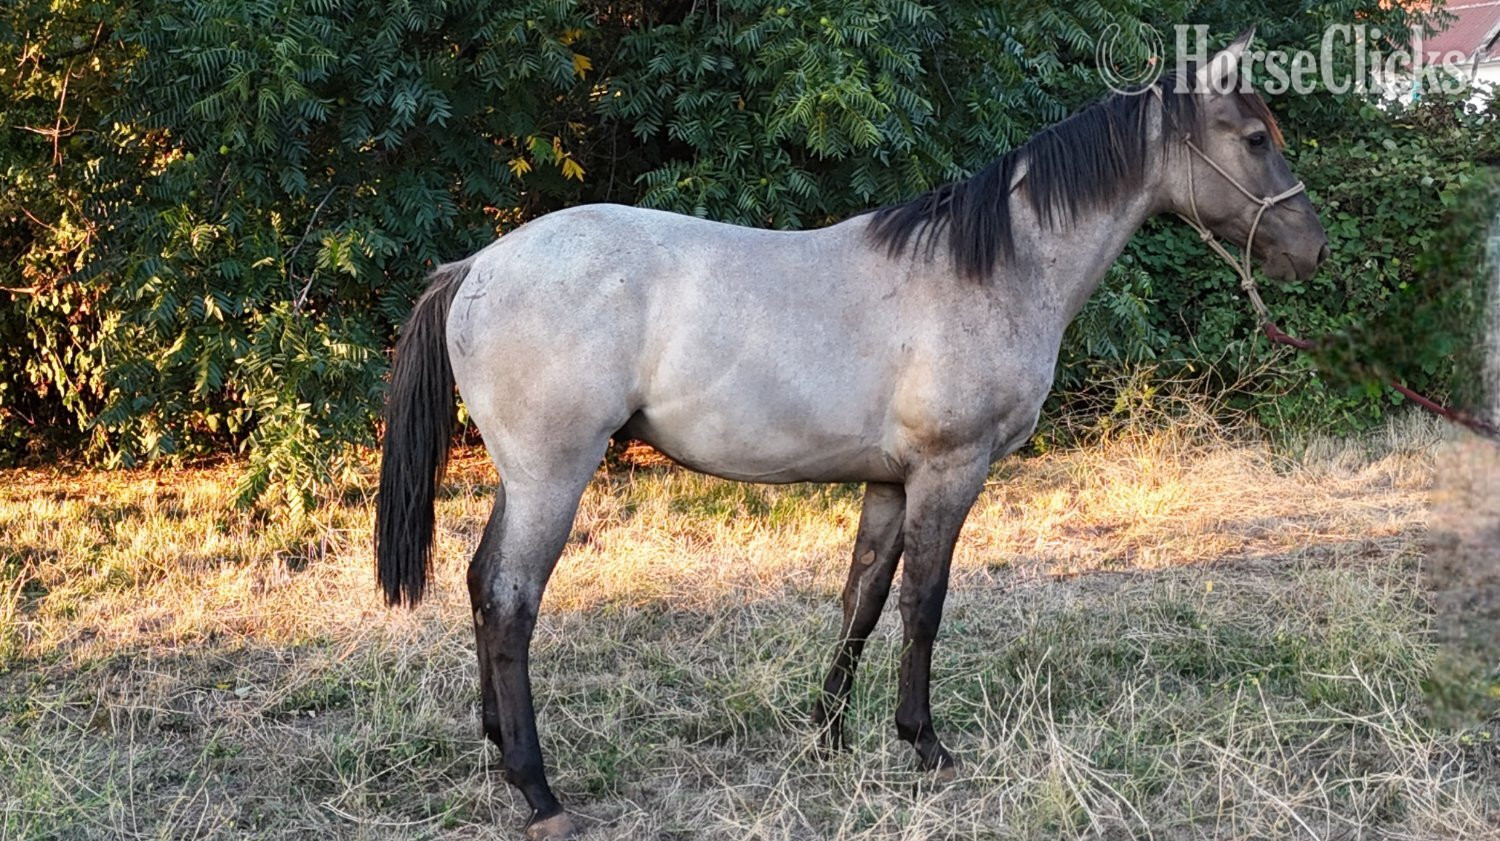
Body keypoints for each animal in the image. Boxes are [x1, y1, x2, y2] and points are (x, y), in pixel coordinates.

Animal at [375, 30, 1327, 840]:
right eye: (1253, 137)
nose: (1311, 251)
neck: (987, 271)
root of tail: (479, 265)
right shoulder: (949, 471)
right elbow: (924, 604)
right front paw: (925, 742)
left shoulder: (890, 480)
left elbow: (862, 597)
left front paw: (828, 732)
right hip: (553, 474)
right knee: (511, 600)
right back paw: (538, 790)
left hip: (524, 477)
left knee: (479, 582)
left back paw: (497, 745)